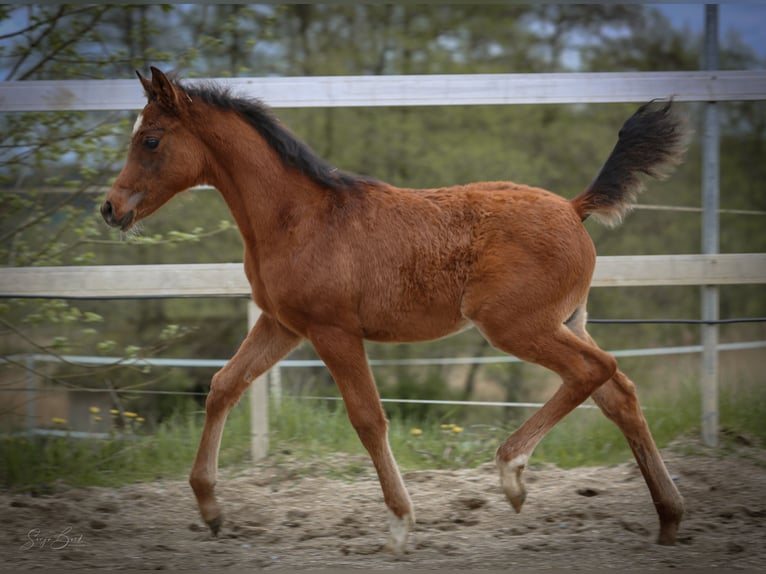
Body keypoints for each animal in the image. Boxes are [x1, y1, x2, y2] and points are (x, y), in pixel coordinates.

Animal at [101, 67, 688, 555]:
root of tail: (572, 207)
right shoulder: (282, 325)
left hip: (516, 326)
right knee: (618, 392)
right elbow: (224, 384)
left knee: (596, 371)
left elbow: (368, 418)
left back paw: (513, 472)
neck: (299, 218)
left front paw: (401, 523)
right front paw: (210, 508)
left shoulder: (332, 330)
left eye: (150, 139)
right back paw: (668, 519)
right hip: (565, 322)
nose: (110, 208)